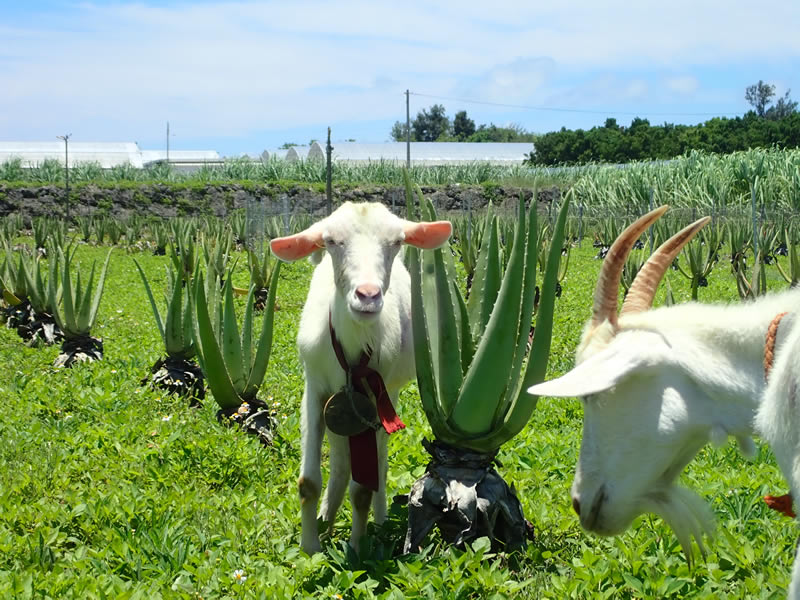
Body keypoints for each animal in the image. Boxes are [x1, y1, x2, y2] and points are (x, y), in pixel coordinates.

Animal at [272, 200, 454, 552]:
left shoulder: (373, 396)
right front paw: (309, 548)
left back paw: (378, 521)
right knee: (341, 462)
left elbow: (363, 488)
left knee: (378, 461)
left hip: (388, 393)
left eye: (396, 242)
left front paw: (357, 548)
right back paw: (326, 520)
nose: (367, 295)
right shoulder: (314, 388)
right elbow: (308, 482)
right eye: (330, 241)